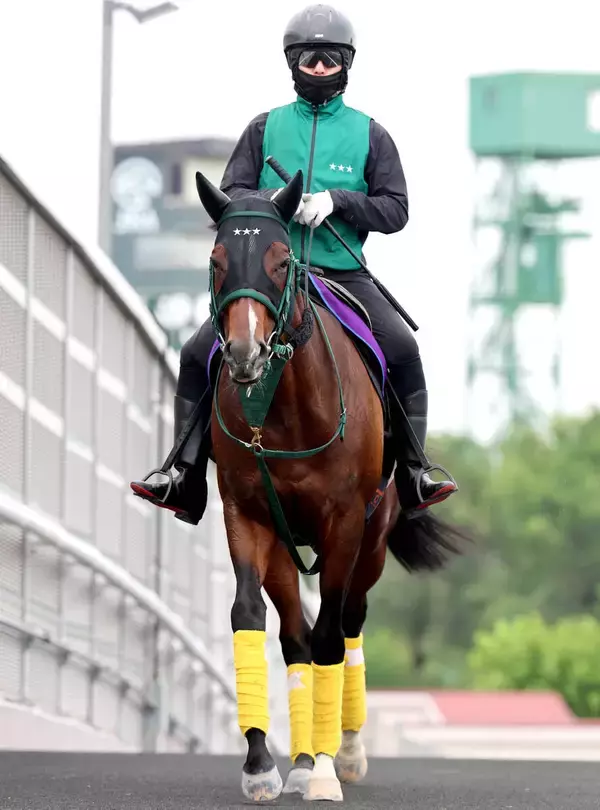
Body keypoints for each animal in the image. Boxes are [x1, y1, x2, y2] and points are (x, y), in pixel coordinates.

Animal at [194, 167, 464, 803]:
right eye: (217, 259)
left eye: (279, 259)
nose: (244, 353)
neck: (285, 410)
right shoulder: (248, 515)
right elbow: (252, 618)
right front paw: (263, 766)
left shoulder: (343, 525)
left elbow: (330, 641)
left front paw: (322, 770)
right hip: (285, 547)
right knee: (295, 634)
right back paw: (295, 759)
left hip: (371, 544)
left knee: (349, 626)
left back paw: (346, 753)